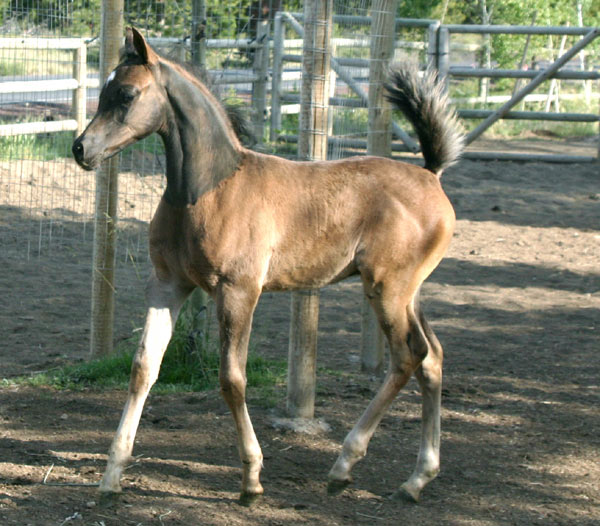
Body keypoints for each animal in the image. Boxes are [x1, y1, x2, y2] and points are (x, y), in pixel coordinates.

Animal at [71, 27, 464, 504]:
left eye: (127, 94)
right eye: (103, 90)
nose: (81, 149)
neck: (206, 190)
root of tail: (431, 175)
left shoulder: (239, 290)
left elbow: (232, 379)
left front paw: (252, 478)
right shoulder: (168, 285)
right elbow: (143, 367)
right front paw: (112, 473)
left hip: (386, 289)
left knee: (408, 357)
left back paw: (344, 465)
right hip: (409, 292)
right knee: (432, 358)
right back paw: (417, 477)